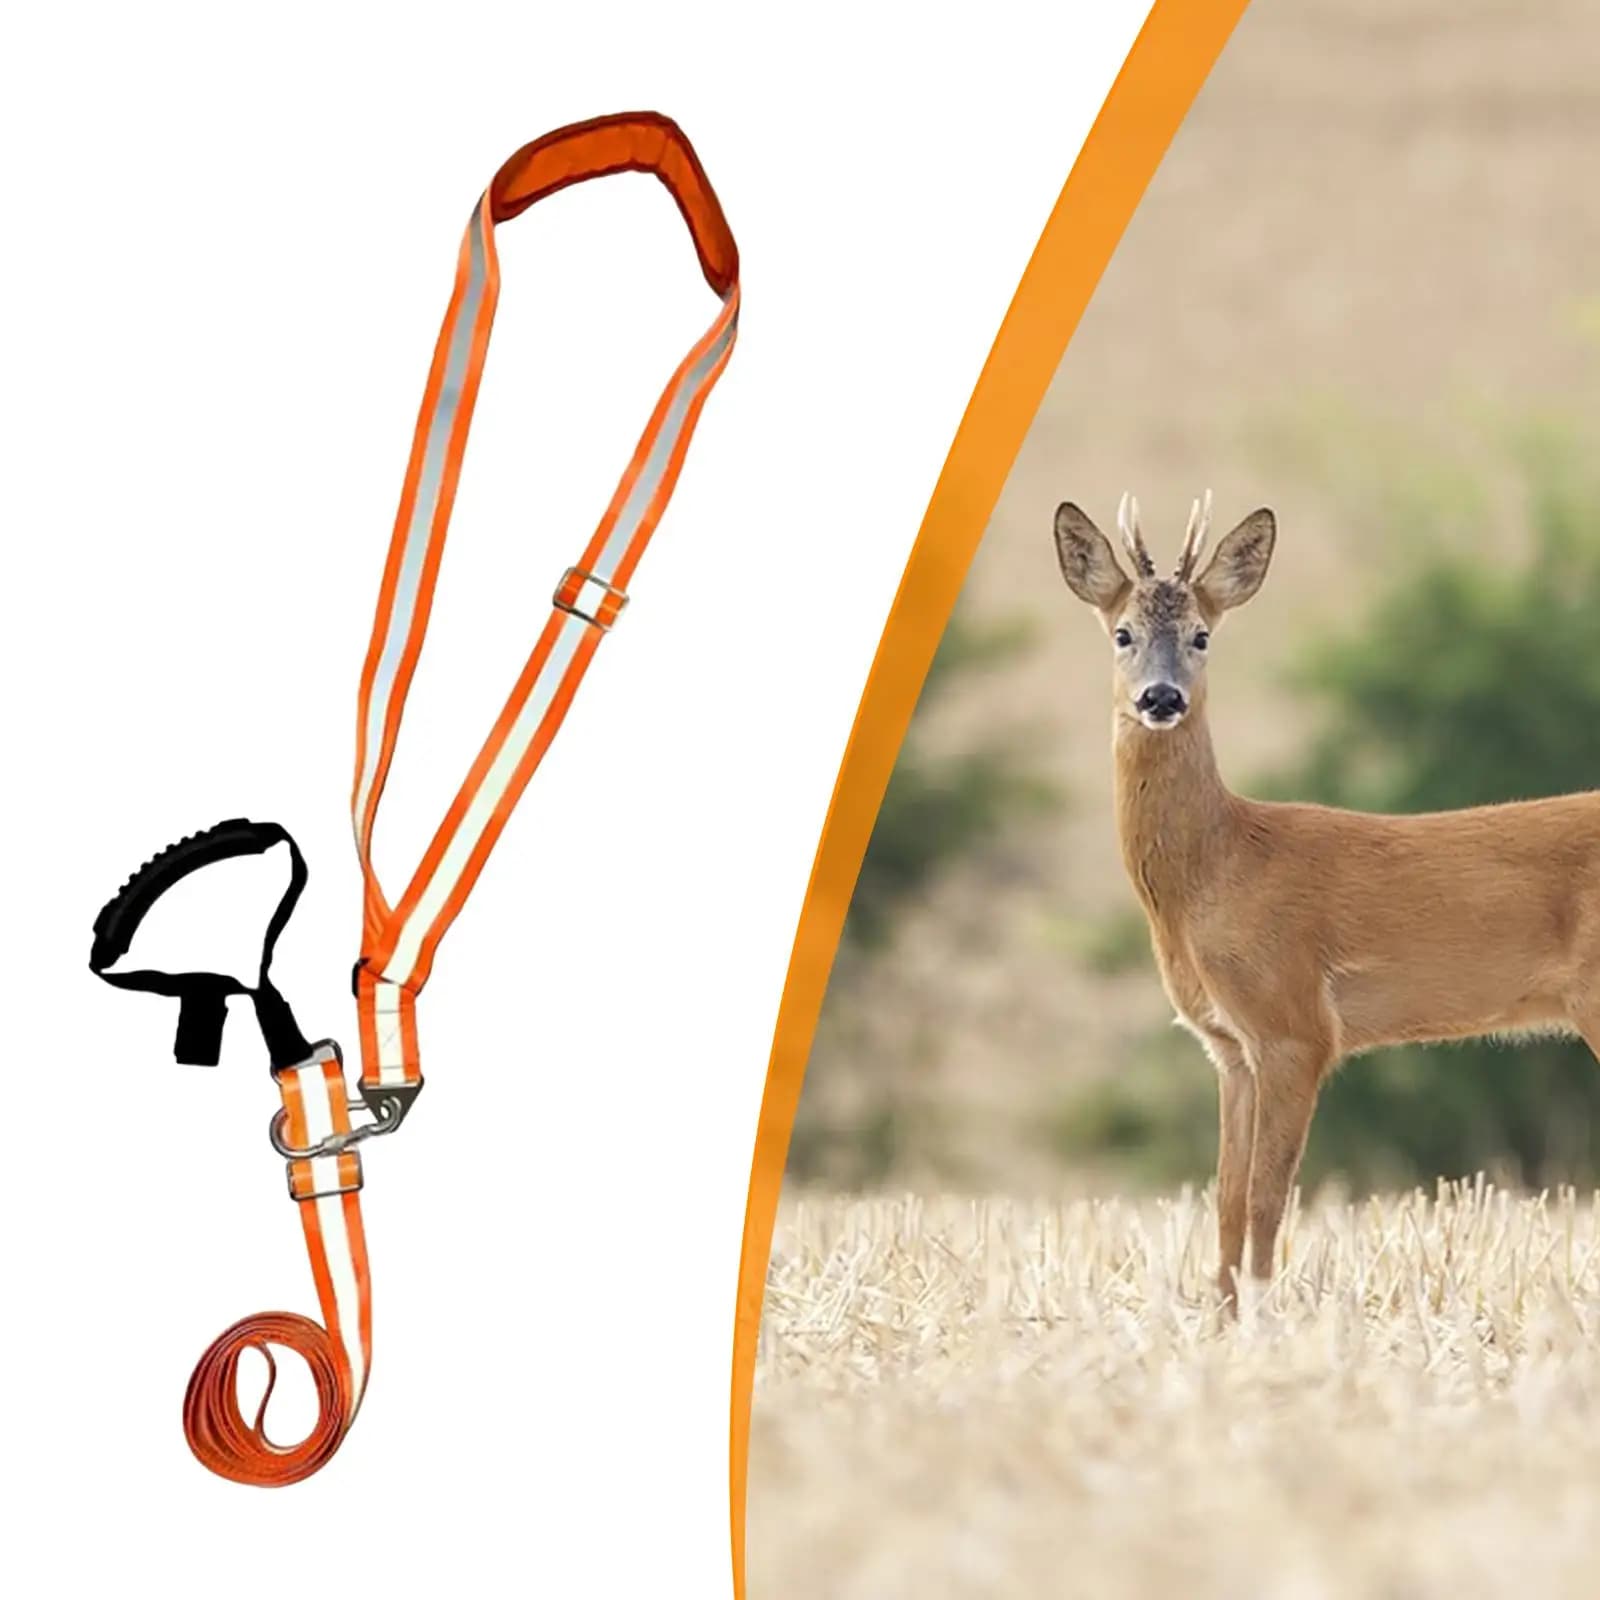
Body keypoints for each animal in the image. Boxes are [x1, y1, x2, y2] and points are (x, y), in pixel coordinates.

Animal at [1051, 491, 1600, 1303]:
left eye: (1202, 636)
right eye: (1122, 633)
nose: (1161, 697)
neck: (1217, 871)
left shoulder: (1295, 1023)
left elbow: (1267, 1201)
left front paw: (1266, 1314)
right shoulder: (1230, 1047)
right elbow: (1224, 1199)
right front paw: (1220, 1316)